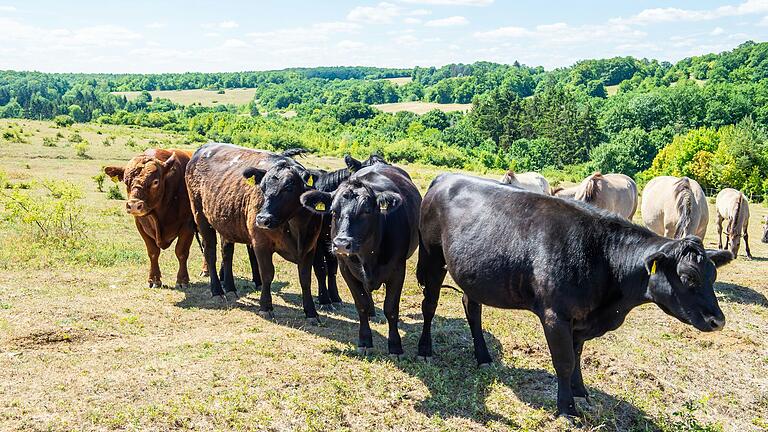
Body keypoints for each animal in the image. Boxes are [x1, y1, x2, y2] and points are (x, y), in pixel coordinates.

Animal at [103, 149, 200, 290]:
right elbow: (153, 252)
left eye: (155, 182)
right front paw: (154, 279)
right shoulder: (140, 225)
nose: (134, 205)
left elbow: (181, 252)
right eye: (126, 182)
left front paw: (182, 280)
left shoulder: (187, 225)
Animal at [300, 163, 420, 358]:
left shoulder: (398, 270)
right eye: (334, 211)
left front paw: (395, 346)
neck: (368, 255)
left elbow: (391, 308)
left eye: (366, 211)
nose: (341, 244)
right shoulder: (346, 269)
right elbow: (361, 304)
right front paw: (364, 341)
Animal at [414, 174, 732, 416]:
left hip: (474, 274)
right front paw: (566, 408)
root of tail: (446, 177)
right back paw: (425, 349)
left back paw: (483, 356)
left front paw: (581, 392)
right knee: (429, 303)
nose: (718, 321)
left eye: (713, 276)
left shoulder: (582, 318)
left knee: (472, 307)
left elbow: (578, 356)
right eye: (688, 277)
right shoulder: (556, 316)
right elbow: (564, 361)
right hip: (431, 257)